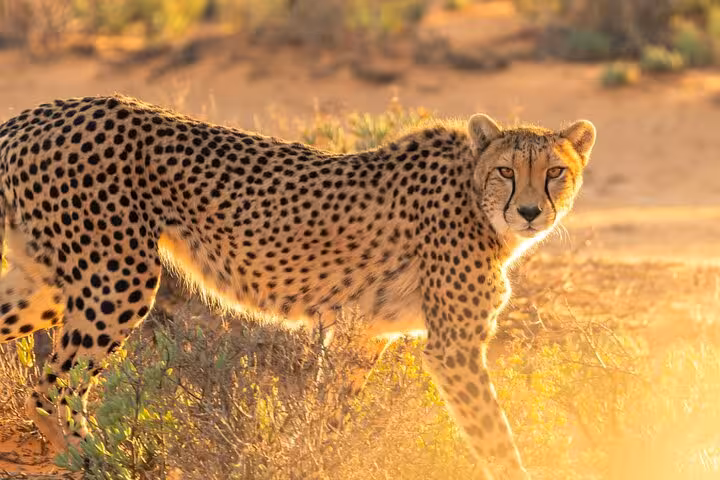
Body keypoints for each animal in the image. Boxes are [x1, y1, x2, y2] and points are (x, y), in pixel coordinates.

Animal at [0, 94, 595, 479]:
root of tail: (37, 114)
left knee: (39, 373)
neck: (475, 196)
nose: (530, 212)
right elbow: (495, 436)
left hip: (48, 284)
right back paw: (94, 461)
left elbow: (330, 416)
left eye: (555, 172)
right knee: (54, 385)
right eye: (506, 171)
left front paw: (312, 460)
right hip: (117, 279)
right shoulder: (453, 348)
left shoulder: (362, 334)